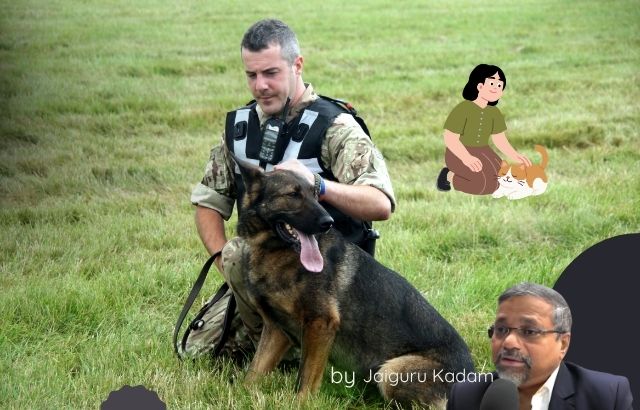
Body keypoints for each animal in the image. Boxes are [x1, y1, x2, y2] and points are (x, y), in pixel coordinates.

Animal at [235, 162, 474, 408]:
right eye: (292, 195)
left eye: (315, 194)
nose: (328, 223)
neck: (276, 252)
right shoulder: (276, 330)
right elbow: (253, 373)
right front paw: (244, 394)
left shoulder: (320, 324)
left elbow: (306, 379)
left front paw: (300, 404)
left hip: (390, 372)